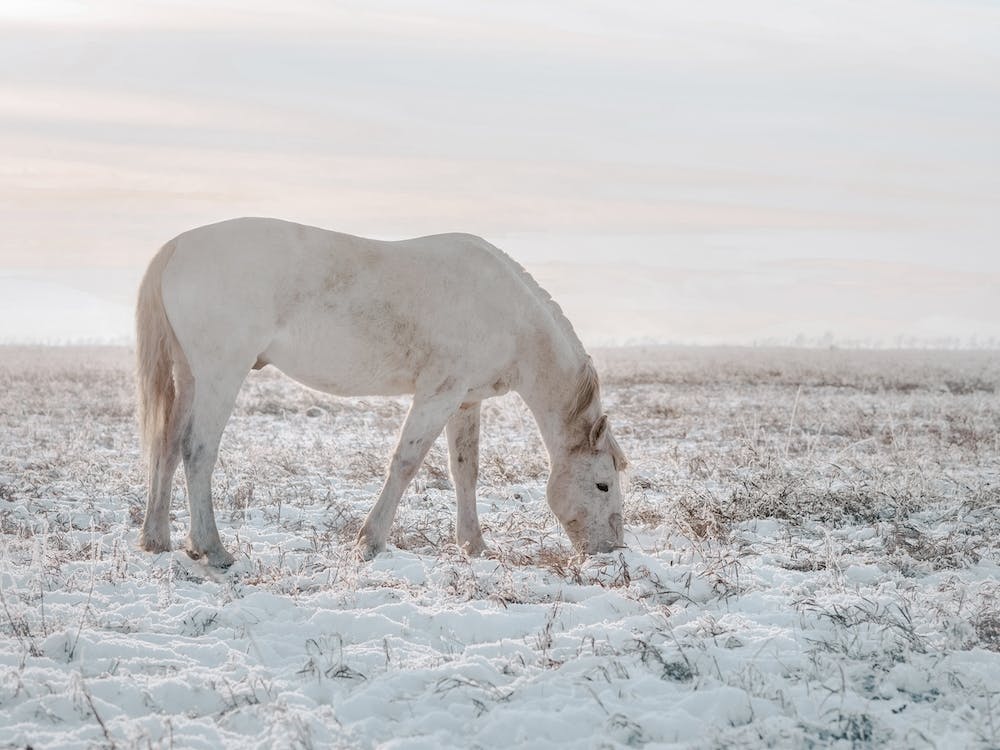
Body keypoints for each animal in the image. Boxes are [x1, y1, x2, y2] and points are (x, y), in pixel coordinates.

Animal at [135, 217, 628, 567]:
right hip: (220, 374)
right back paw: (212, 549)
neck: (508, 313)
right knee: (197, 451)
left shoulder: (465, 401)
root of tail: (178, 245)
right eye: (602, 484)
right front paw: (369, 543)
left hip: (190, 377)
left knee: (166, 446)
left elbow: (465, 471)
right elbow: (405, 464)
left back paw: (156, 539)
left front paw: (474, 546)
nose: (611, 551)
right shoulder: (437, 395)